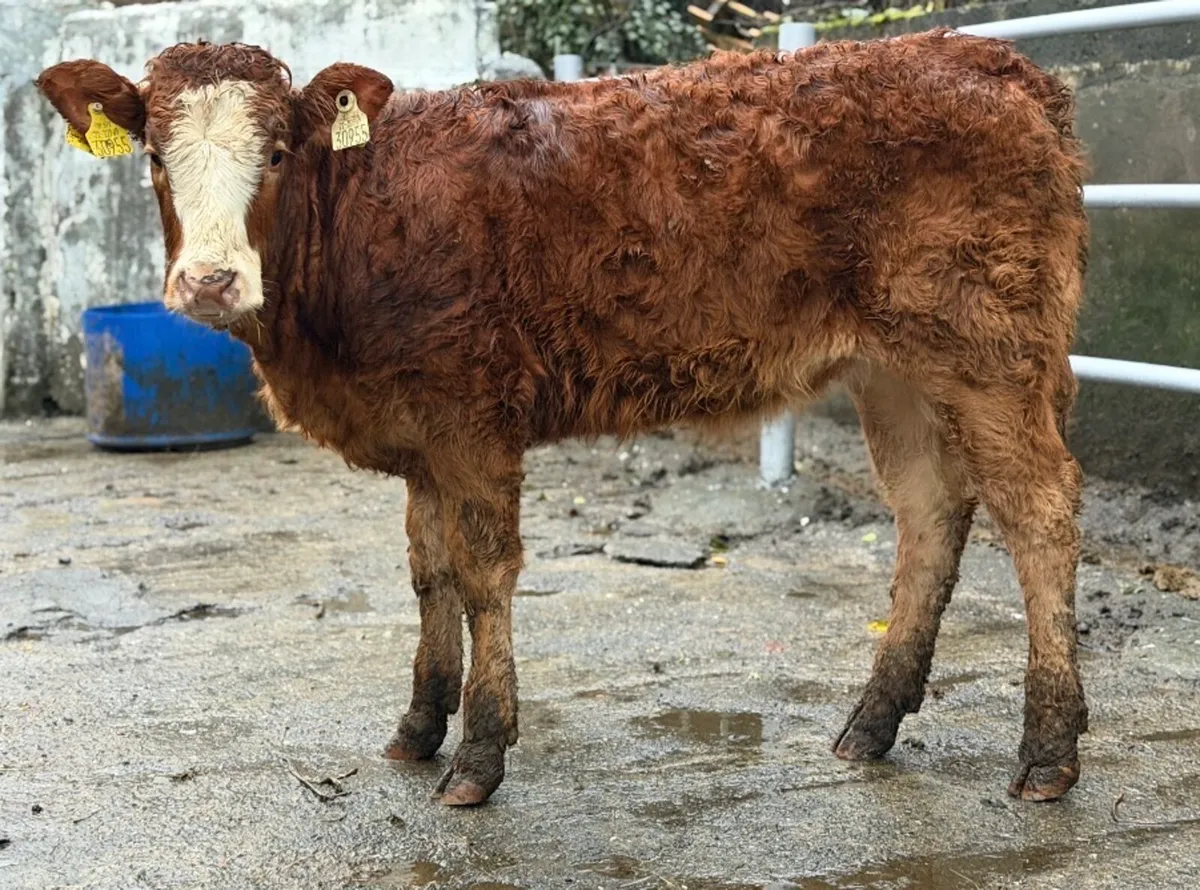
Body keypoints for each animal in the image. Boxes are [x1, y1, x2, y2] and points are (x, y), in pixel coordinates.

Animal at [36, 28, 1090, 806]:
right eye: (155, 157)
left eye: (280, 152)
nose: (210, 281)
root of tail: (992, 61)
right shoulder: (418, 430)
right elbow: (428, 572)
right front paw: (420, 726)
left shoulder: (469, 413)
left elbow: (482, 571)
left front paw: (479, 755)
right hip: (893, 366)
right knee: (929, 511)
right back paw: (872, 724)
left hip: (988, 348)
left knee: (1039, 510)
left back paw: (1047, 751)